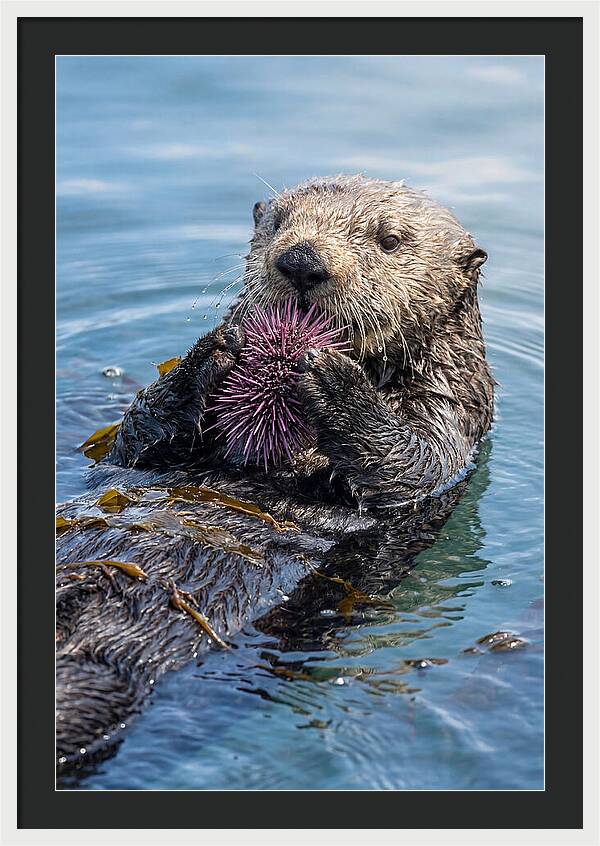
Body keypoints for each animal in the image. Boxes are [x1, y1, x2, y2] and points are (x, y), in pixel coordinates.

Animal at [56, 175, 494, 772]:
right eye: (280, 222)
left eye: (389, 240)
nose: (302, 261)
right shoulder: (138, 451)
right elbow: (134, 439)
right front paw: (213, 350)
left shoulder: (453, 414)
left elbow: (413, 465)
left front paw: (334, 380)